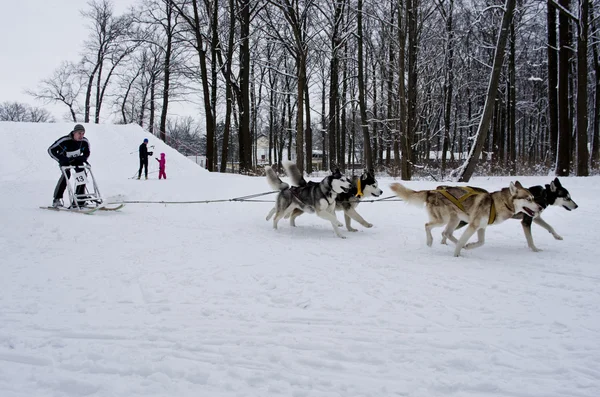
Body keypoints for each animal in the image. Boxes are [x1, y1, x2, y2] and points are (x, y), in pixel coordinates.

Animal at [392, 180, 540, 256]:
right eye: (528, 199)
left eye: (533, 198)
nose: (540, 207)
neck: (498, 204)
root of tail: (431, 191)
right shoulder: (473, 225)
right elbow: (466, 240)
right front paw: (456, 254)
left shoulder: (481, 227)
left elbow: (481, 242)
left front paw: (468, 246)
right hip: (442, 220)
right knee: (427, 225)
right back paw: (429, 241)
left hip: (455, 220)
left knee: (446, 233)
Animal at [442, 177, 580, 251]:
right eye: (567, 198)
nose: (576, 206)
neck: (543, 195)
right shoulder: (526, 221)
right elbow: (530, 239)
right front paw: (535, 249)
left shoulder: (535, 217)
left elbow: (549, 227)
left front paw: (557, 236)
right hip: (463, 221)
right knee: (446, 231)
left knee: (446, 231)